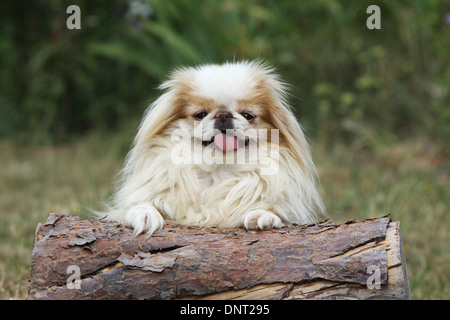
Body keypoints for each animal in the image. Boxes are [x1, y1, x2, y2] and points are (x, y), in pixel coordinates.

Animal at [102, 60, 326, 235]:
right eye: (200, 114)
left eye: (247, 115)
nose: (223, 115)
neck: (218, 169)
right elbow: (141, 204)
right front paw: (145, 215)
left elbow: (271, 208)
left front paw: (262, 215)